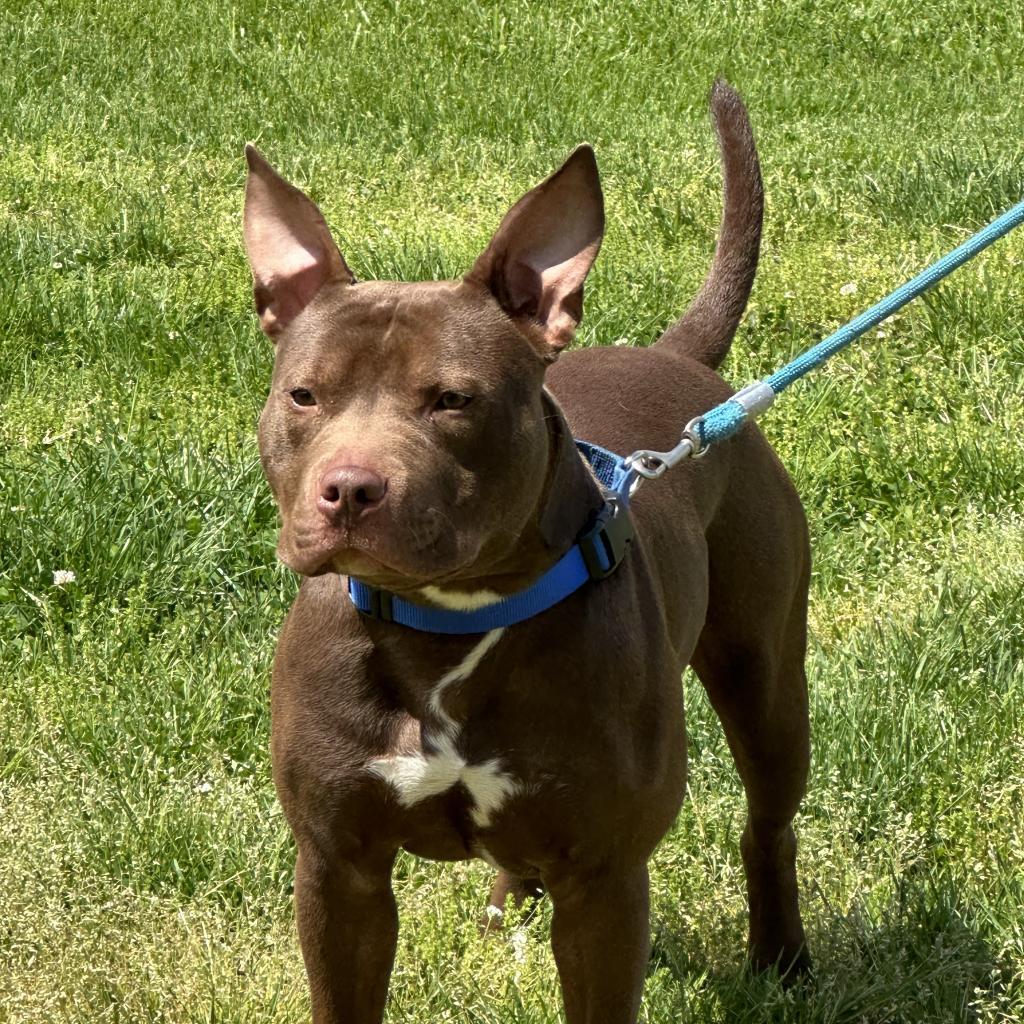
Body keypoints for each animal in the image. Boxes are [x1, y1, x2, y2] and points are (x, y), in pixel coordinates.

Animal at [243, 79, 811, 1024]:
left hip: (765, 676)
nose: (351, 490)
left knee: (768, 821)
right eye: (304, 395)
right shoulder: (338, 872)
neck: (447, 622)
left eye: (451, 400)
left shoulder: (606, 884)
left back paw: (784, 957)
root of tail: (680, 362)